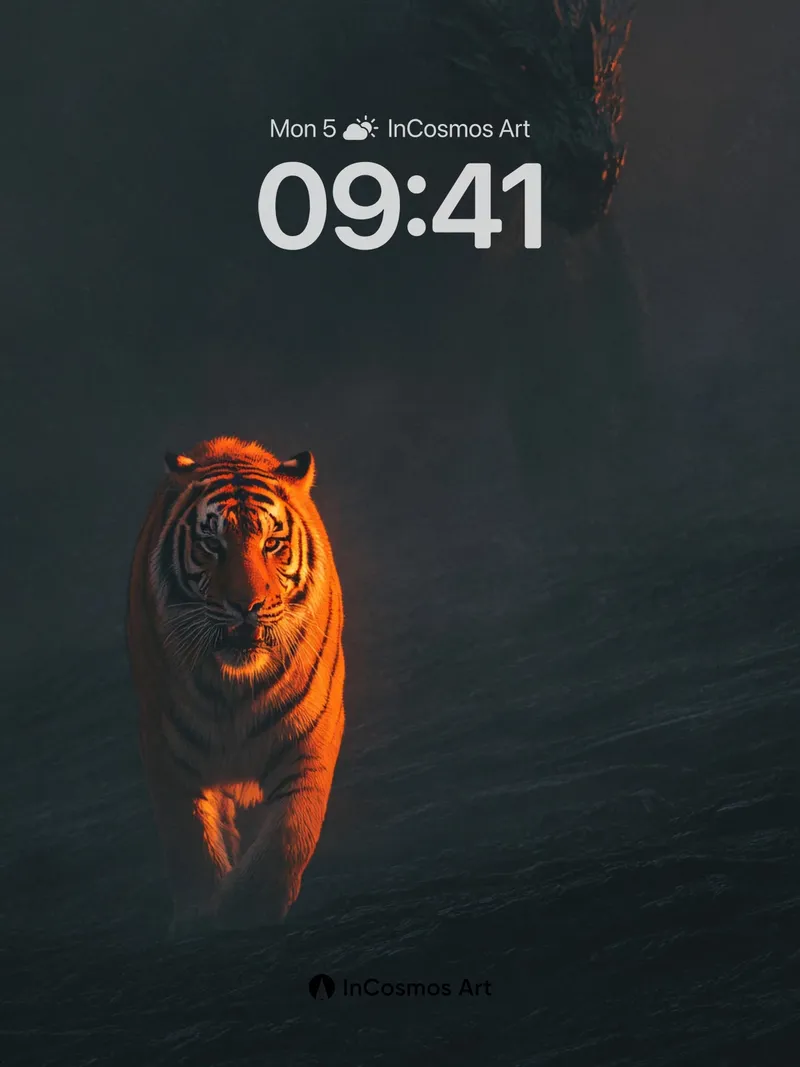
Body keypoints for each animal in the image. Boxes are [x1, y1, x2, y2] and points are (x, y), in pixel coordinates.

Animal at [126, 436, 345, 935]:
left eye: (272, 543)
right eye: (212, 544)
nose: (247, 605)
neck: (235, 685)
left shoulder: (311, 739)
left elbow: (290, 834)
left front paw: (247, 911)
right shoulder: (165, 750)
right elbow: (189, 841)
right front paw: (200, 915)